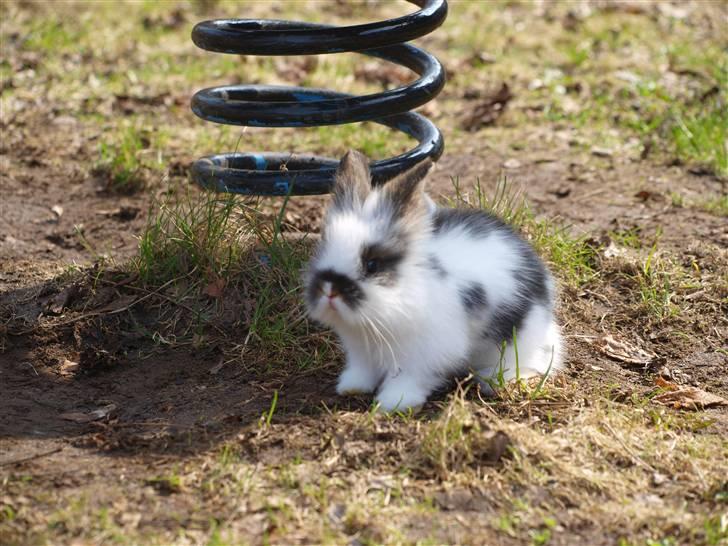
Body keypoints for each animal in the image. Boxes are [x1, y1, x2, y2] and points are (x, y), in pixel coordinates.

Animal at [302, 149, 564, 408]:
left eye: (372, 264)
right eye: (323, 249)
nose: (329, 289)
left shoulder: (423, 355)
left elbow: (408, 378)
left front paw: (394, 403)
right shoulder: (361, 352)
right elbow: (363, 370)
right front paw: (352, 388)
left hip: (518, 339)